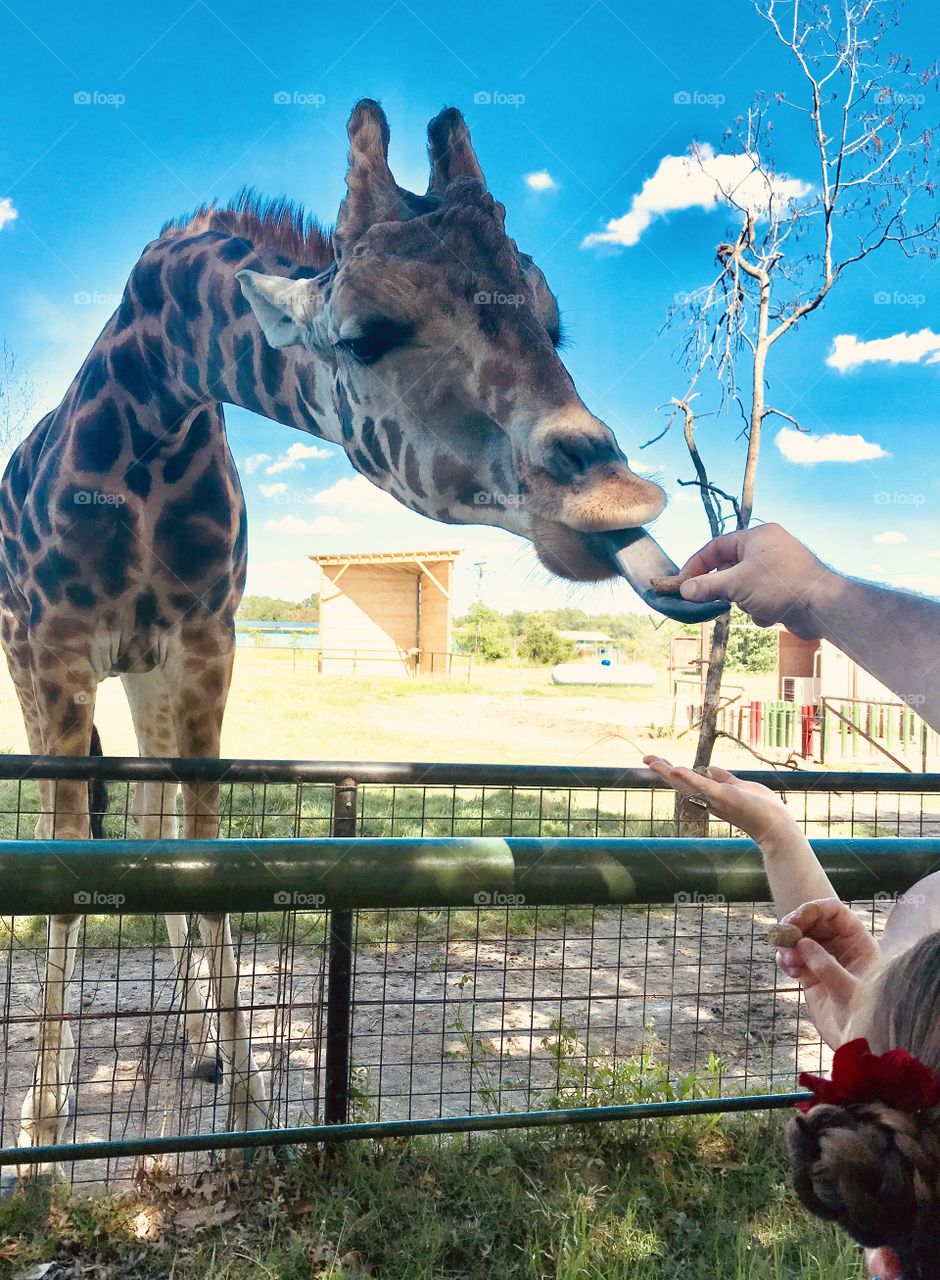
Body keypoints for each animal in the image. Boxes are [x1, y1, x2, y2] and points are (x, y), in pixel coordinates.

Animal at [0, 99, 691, 1164]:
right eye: (366, 335)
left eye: (552, 320)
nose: (619, 497)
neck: (154, 412)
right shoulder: (57, 645)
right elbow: (66, 855)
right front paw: (41, 1134)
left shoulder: (206, 643)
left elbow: (201, 842)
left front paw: (244, 1107)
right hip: (38, 662)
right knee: (62, 828)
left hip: (144, 672)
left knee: (151, 817)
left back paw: (192, 1042)